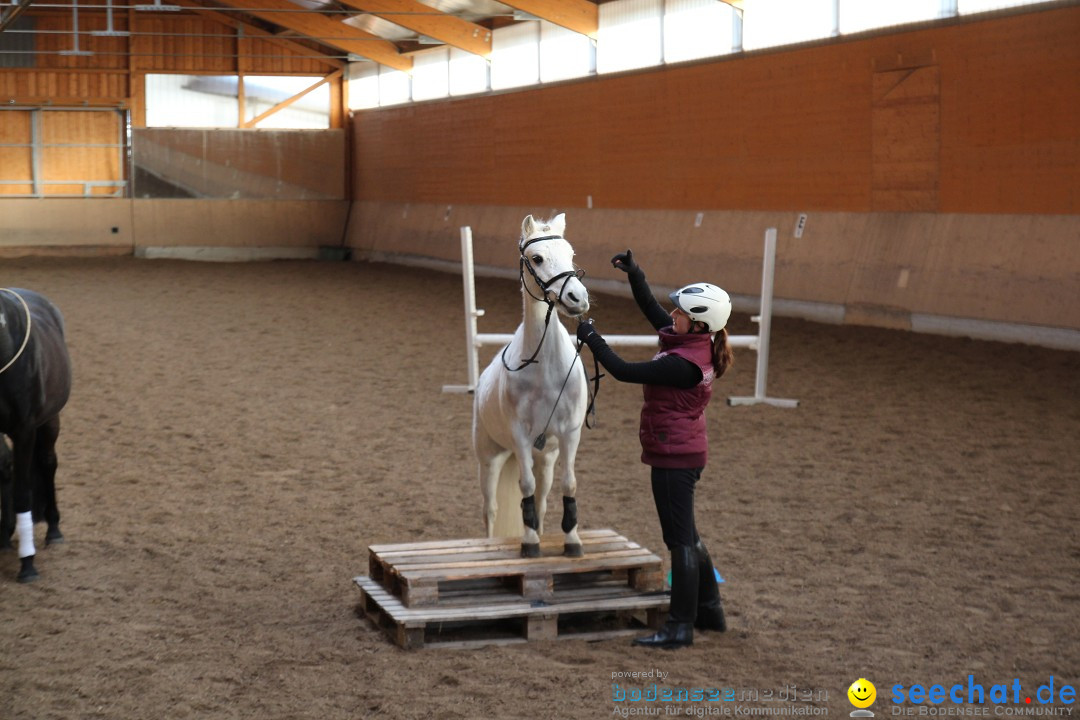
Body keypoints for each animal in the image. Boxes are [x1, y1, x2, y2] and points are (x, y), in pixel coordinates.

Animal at [473, 211, 591, 561]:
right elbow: (524, 487)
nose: (578, 298)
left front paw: (572, 542)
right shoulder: (521, 438)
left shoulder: (569, 434)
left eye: (570, 254)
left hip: (546, 460)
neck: (545, 370)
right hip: (490, 460)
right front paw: (528, 543)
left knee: (541, 499)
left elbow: (569, 485)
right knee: (491, 509)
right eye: (537, 258)